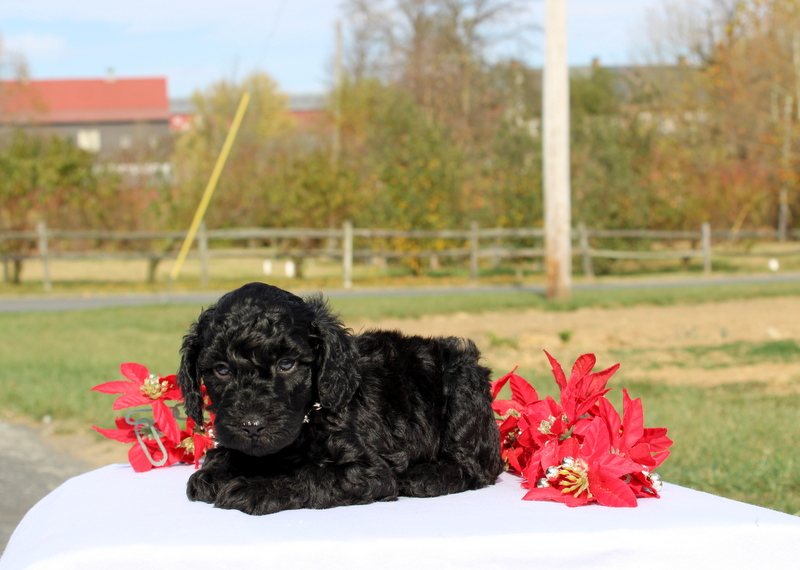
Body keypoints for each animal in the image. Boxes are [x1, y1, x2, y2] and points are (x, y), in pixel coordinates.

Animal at [177, 282, 500, 512]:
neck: (311, 414)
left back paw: (423, 477)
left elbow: (309, 473)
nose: (252, 426)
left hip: (462, 389)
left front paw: (256, 487)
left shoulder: (368, 470)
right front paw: (216, 470)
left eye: (286, 364)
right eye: (221, 370)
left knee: (474, 466)